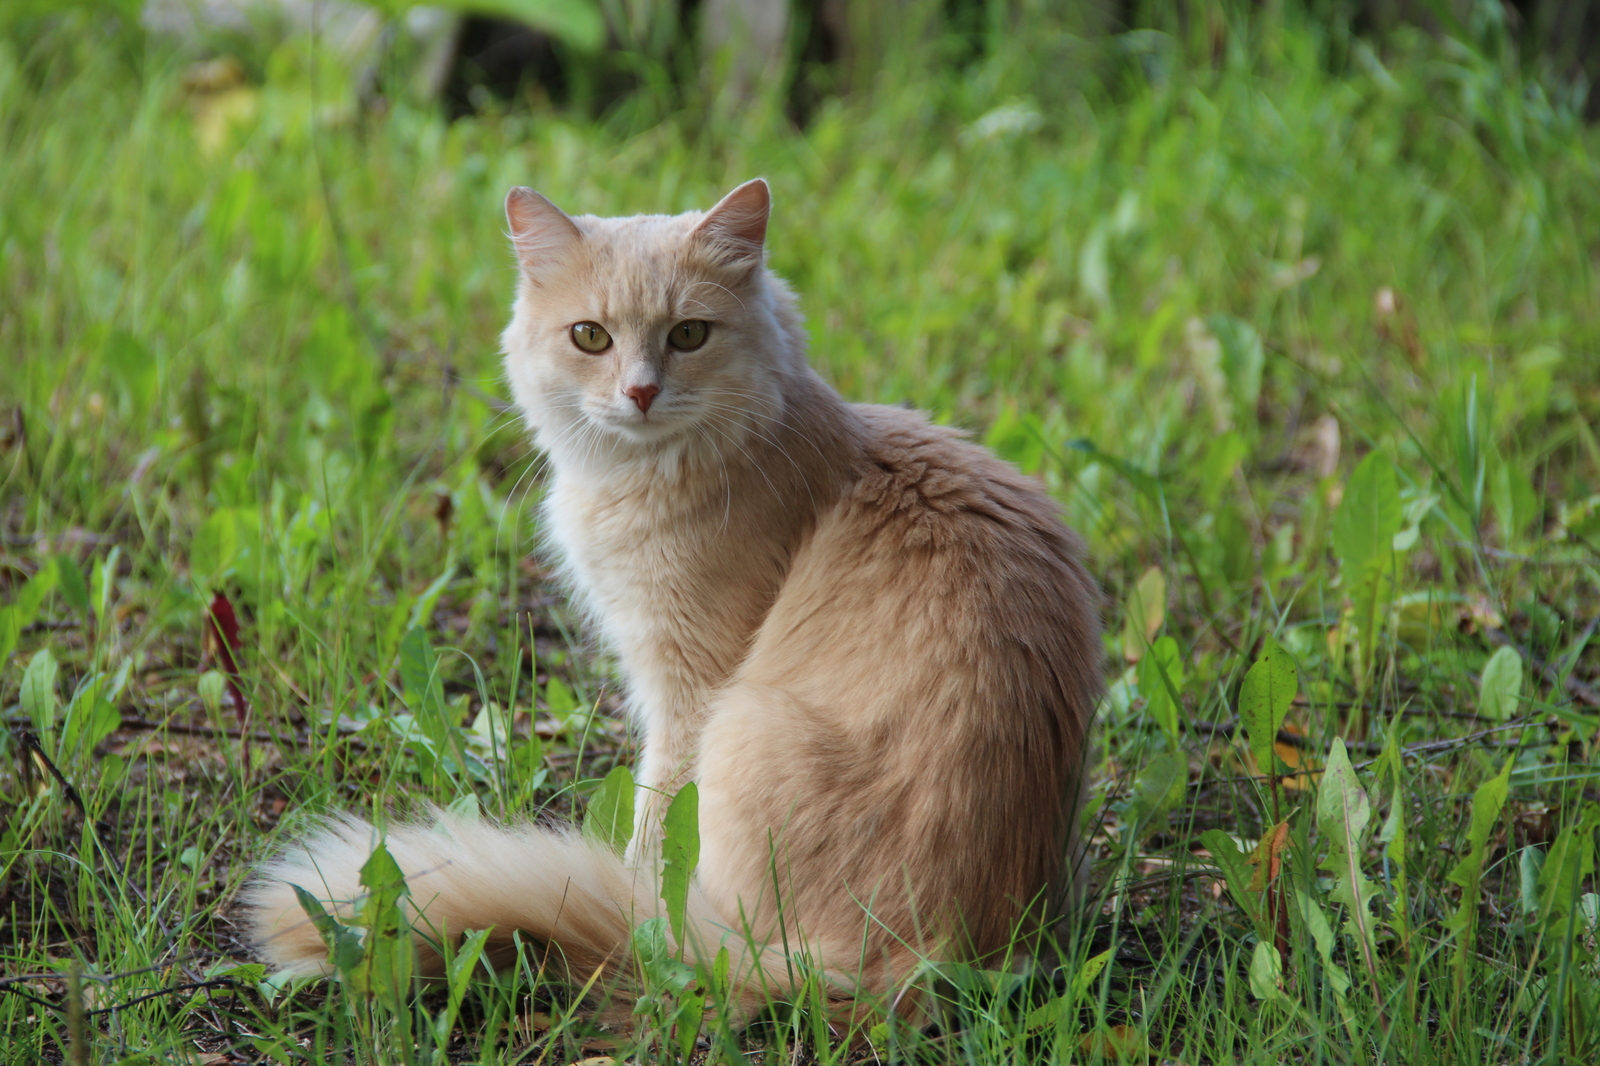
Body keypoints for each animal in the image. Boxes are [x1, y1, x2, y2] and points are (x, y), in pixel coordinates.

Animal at [243, 178, 1107, 1017]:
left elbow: (655, 822)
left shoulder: (686, 688)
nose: (641, 392)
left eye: (689, 335)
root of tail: (906, 956)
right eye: (591, 337)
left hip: (740, 724)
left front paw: (635, 884)